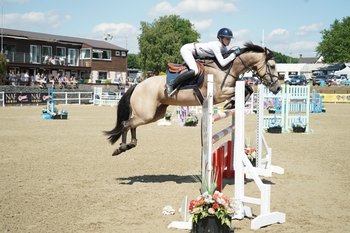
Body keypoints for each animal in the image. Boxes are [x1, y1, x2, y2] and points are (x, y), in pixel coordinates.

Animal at [104, 41, 282, 157]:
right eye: (272, 66)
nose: (277, 88)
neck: (226, 68)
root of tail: (137, 85)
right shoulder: (220, 93)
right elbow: (247, 89)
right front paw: (231, 103)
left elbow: (248, 89)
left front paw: (233, 103)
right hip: (146, 113)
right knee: (126, 123)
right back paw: (121, 148)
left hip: (154, 114)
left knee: (132, 124)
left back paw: (130, 144)